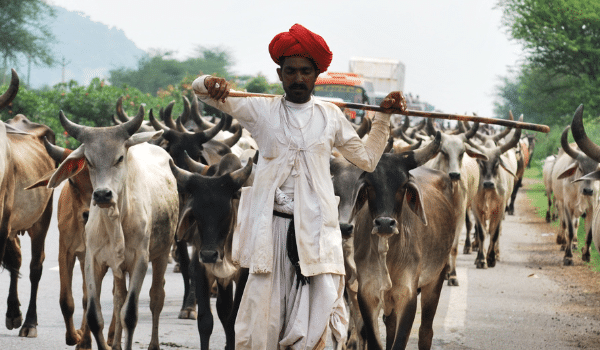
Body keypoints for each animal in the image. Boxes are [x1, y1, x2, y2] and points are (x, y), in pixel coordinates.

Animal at [47, 108, 178, 350]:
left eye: (119, 158)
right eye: (88, 161)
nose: (102, 195)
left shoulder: (140, 261)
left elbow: (130, 315)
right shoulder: (93, 260)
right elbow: (94, 315)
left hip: (162, 254)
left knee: (156, 297)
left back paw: (153, 344)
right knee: (119, 298)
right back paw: (115, 343)